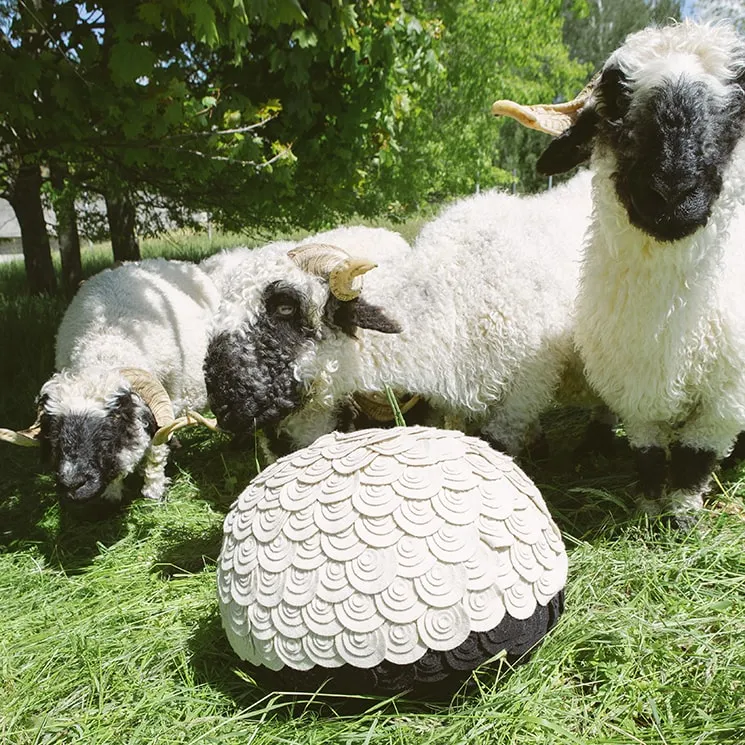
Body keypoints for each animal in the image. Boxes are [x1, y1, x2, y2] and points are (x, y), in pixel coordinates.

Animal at [0, 258, 219, 506]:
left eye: (114, 423)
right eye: (53, 429)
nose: (72, 484)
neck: (107, 343)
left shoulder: (168, 396)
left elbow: (156, 451)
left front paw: (154, 492)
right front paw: (112, 494)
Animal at [492, 20, 744, 528]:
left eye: (739, 103)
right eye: (615, 97)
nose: (671, 192)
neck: (668, 326)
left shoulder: (726, 402)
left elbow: (694, 460)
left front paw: (682, 519)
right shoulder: (632, 389)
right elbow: (648, 454)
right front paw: (648, 510)